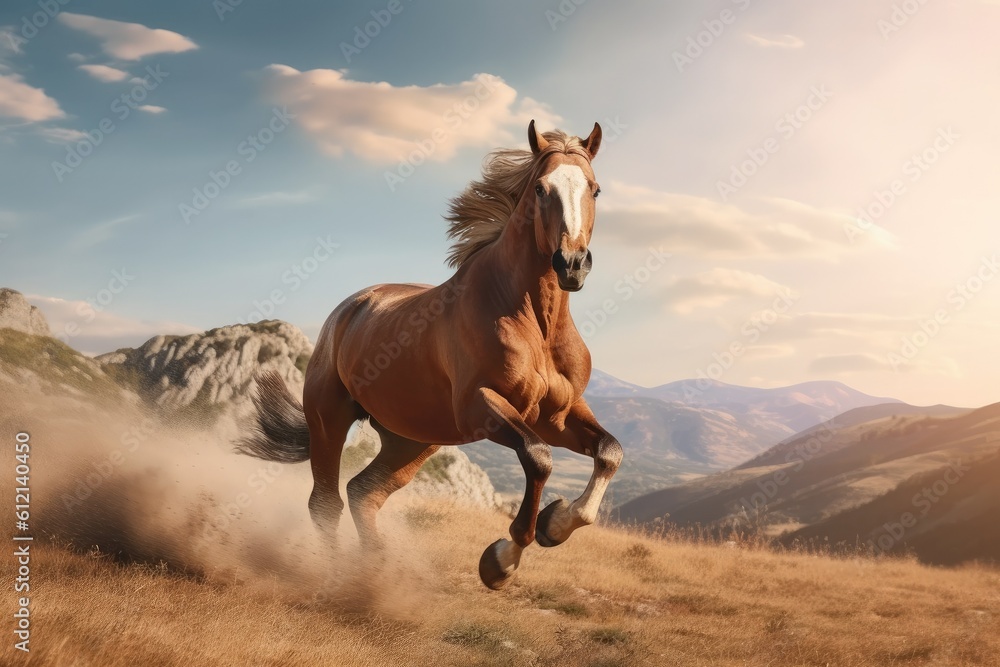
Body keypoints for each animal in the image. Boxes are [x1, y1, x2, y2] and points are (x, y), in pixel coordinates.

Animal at [236, 120, 623, 589]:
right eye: (540, 188)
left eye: (594, 189)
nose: (571, 264)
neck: (535, 324)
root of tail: (349, 308)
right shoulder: (481, 407)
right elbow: (539, 458)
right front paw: (500, 561)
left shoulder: (558, 415)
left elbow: (609, 452)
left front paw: (555, 523)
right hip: (330, 420)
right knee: (326, 503)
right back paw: (343, 580)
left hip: (413, 439)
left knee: (363, 493)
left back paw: (376, 573)